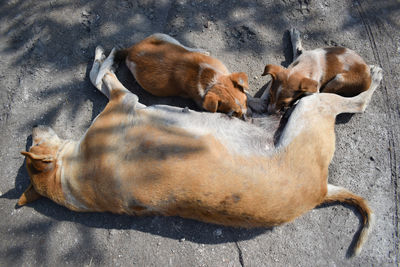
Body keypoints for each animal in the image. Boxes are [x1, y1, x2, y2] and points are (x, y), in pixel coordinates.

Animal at [17, 47, 382, 258]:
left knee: (264, 100)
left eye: (32, 144)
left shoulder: (122, 101)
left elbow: (98, 75)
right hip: (311, 107)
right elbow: (100, 75)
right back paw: (374, 77)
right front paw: (104, 59)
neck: (68, 175)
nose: (32, 126)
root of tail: (321, 191)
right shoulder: (124, 100)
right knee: (357, 102)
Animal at [113, 32, 250, 118]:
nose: (245, 115)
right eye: (233, 113)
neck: (209, 78)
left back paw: (201, 51)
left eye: (245, 101)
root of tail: (130, 51)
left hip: (163, 36)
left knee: (185, 47)